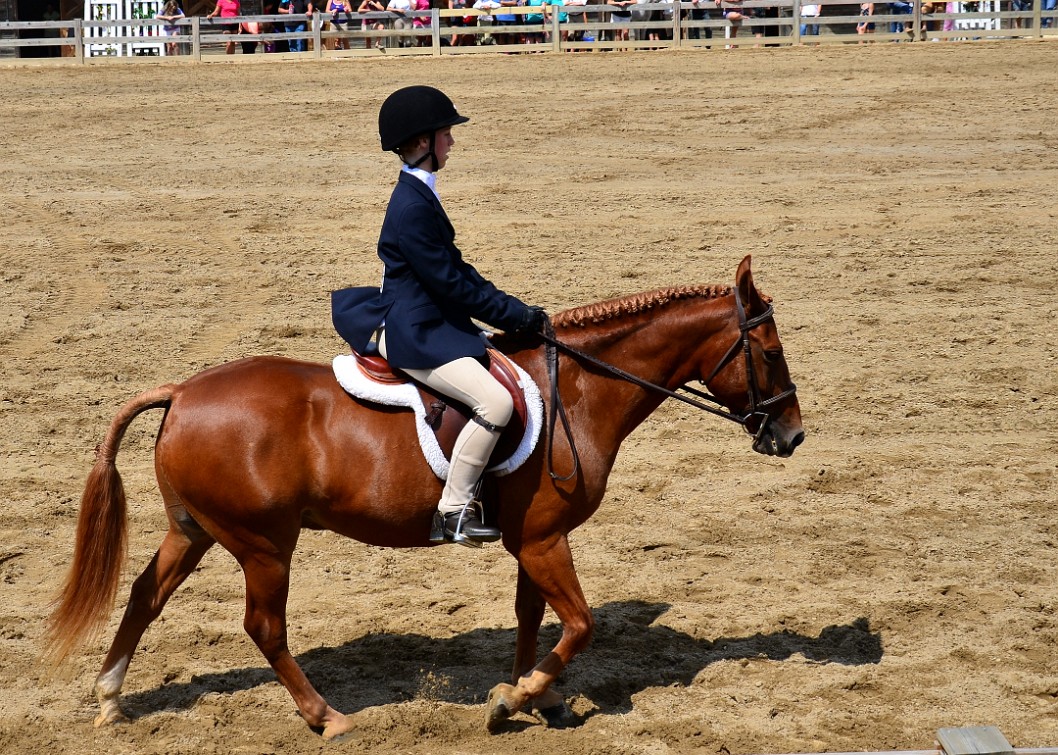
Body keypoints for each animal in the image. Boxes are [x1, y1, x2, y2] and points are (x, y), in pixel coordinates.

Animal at [43, 255, 799, 740]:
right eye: (770, 351)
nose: (792, 435)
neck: (579, 390)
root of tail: (183, 391)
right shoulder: (545, 539)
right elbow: (580, 623)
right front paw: (513, 699)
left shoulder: (534, 539)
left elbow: (533, 617)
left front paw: (541, 698)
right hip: (264, 545)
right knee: (264, 627)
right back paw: (327, 717)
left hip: (194, 529)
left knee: (146, 594)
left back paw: (110, 699)